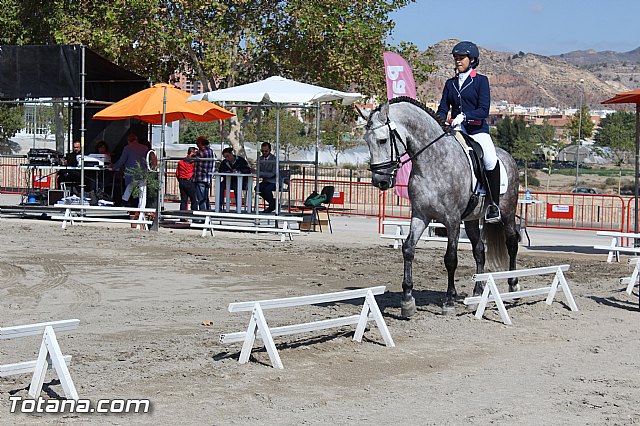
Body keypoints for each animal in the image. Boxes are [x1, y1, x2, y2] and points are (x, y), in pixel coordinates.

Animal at [362, 97, 520, 317]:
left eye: (383, 140)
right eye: (367, 141)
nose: (380, 181)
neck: (432, 161)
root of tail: (508, 156)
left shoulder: (452, 220)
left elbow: (450, 258)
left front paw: (449, 301)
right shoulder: (420, 215)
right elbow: (408, 249)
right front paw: (407, 301)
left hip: (507, 212)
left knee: (512, 243)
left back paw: (513, 287)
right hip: (471, 220)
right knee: (479, 250)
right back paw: (477, 294)